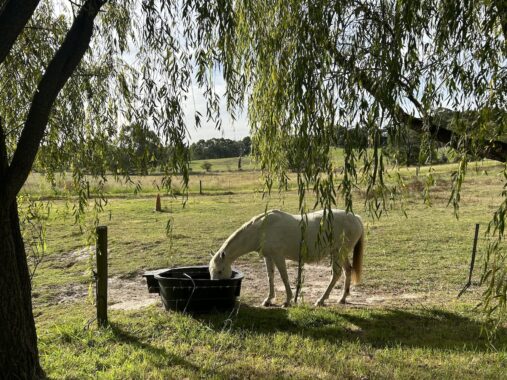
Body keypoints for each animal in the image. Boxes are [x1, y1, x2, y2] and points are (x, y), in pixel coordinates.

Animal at [209, 209, 366, 308]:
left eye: (220, 271)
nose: (215, 288)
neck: (261, 230)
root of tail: (356, 218)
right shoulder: (268, 257)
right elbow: (270, 277)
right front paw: (268, 300)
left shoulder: (278, 256)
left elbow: (284, 277)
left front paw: (287, 301)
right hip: (340, 253)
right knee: (347, 271)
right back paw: (342, 298)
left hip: (338, 252)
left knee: (336, 274)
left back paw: (321, 300)